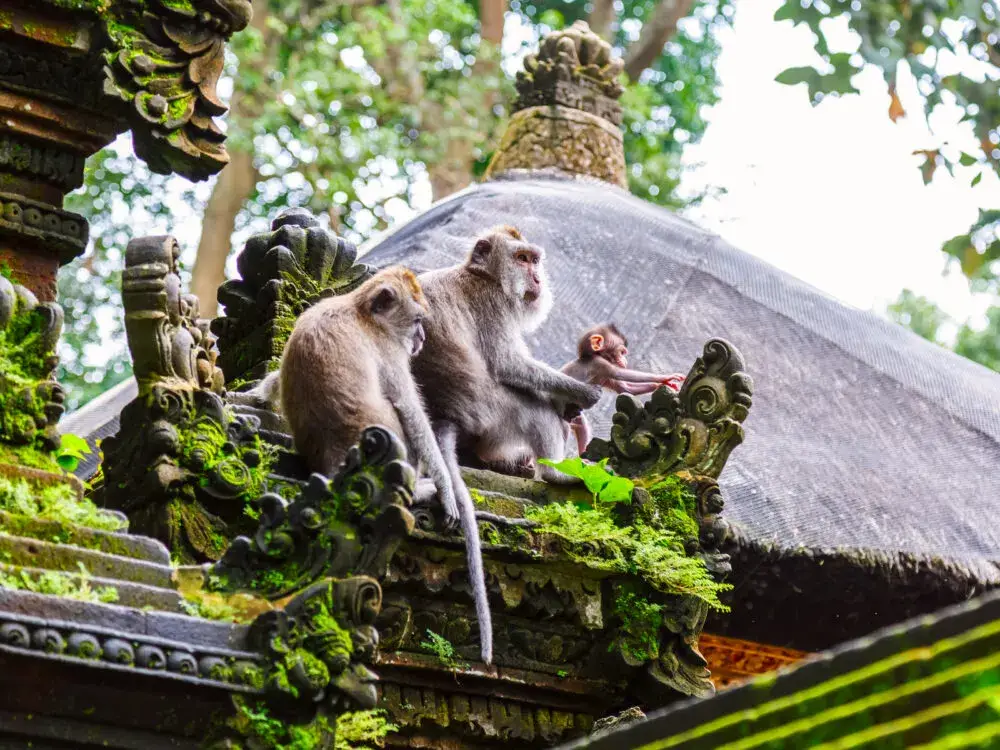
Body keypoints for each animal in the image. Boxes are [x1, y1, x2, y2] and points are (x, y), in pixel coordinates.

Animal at [560, 322, 684, 456]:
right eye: (622, 352)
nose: (625, 360)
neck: (592, 355)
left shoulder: (606, 377)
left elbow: (625, 388)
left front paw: (659, 384)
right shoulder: (600, 363)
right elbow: (620, 374)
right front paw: (665, 377)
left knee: (580, 423)